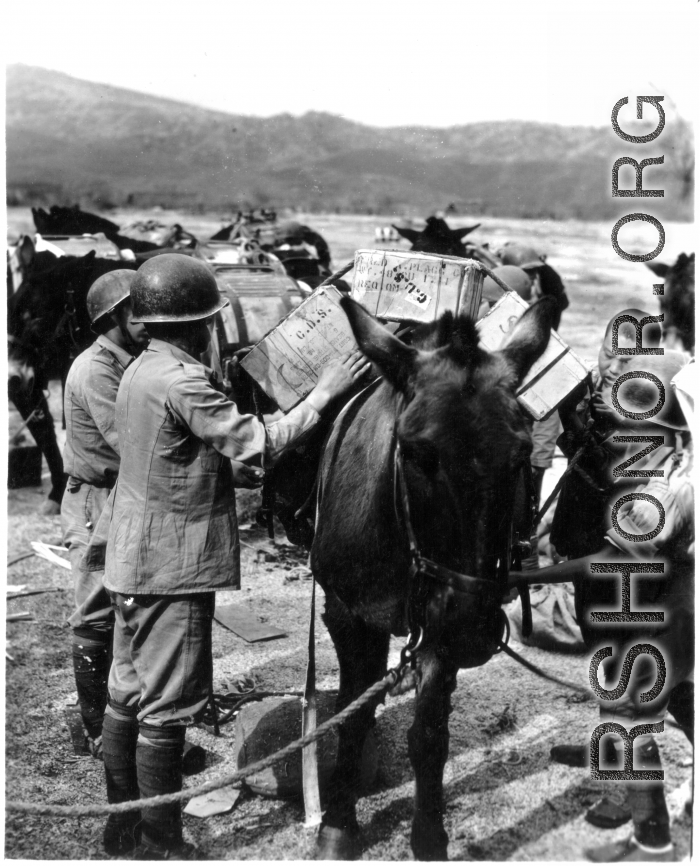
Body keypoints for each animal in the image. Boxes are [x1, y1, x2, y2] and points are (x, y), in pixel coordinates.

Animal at [308, 292, 556, 856]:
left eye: (521, 457)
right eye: (418, 452)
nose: (473, 630)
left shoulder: (440, 629)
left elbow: (429, 737)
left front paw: (428, 837)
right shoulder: (350, 616)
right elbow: (353, 714)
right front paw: (337, 825)